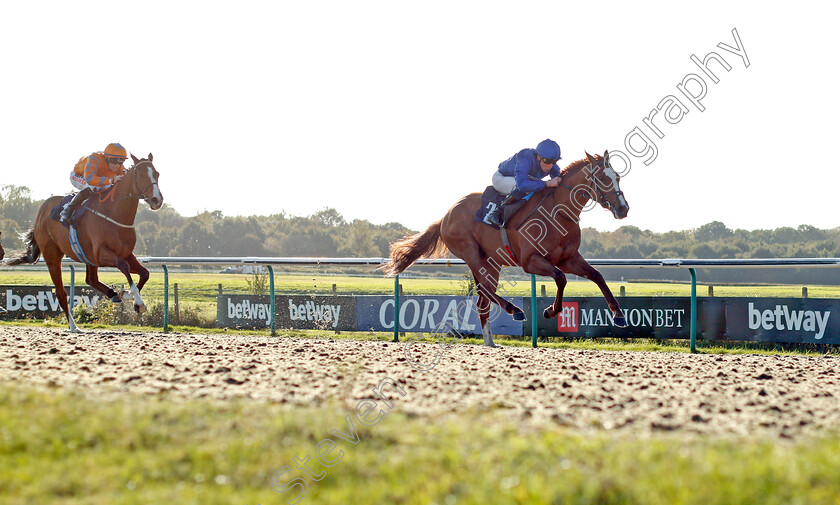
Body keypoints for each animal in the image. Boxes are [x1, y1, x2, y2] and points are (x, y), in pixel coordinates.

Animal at [6, 156, 164, 332]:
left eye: (157, 174)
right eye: (141, 175)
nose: (157, 200)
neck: (114, 213)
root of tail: (42, 211)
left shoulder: (125, 253)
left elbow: (145, 273)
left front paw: (127, 295)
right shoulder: (102, 254)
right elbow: (124, 266)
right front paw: (138, 302)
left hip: (87, 257)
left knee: (91, 279)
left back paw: (112, 294)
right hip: (52, 256)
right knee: (61, 293)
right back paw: (73, 326)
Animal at [384, 151, 628, 346]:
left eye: (617, 176)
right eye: (603, 178)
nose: (623, 209)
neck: (558, 213)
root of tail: (446, 216)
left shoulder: (569, 259)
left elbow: (596, 275)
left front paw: (618, 314)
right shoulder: (531, 261)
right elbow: (560, 278)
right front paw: (550, 310)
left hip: (491, 262)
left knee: (483, 300)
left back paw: (490, 341)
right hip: (472, 254)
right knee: (486, 291)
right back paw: (515, 310)